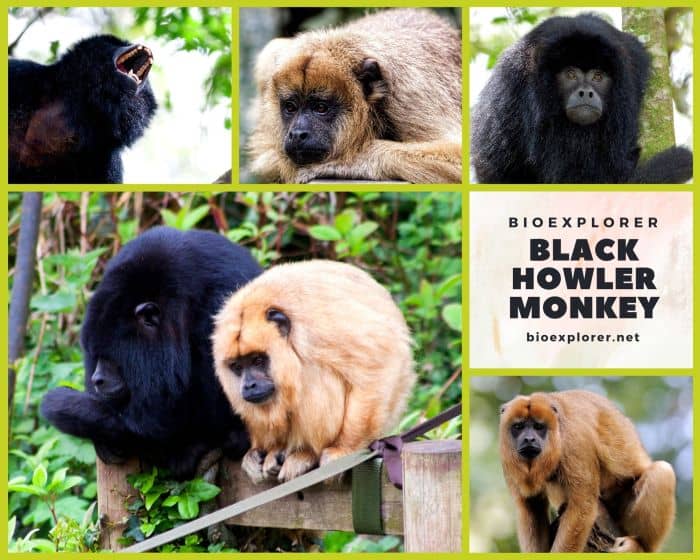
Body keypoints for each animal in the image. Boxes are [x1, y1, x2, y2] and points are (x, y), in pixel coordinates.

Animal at [212, 260, 415, 483]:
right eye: (237, 366)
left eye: (257, 360)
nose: (249, 385)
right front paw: (258, 451)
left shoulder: (320, 324)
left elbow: (380, 359)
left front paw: (342, 450)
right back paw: (276, 450)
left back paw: (306, 454)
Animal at [247, 9, 462, 184]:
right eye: (290, 107)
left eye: (321, 108)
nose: (297, 133)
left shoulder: (410, 92)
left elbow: (458, 156)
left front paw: (338, 162)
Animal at [499, 390, 676, 552]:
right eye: (518, 426)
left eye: (538, 427)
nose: (529, 439)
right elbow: (530, 506)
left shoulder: (575, 441)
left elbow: (582, 506)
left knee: (662, 472)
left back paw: (640, 546)